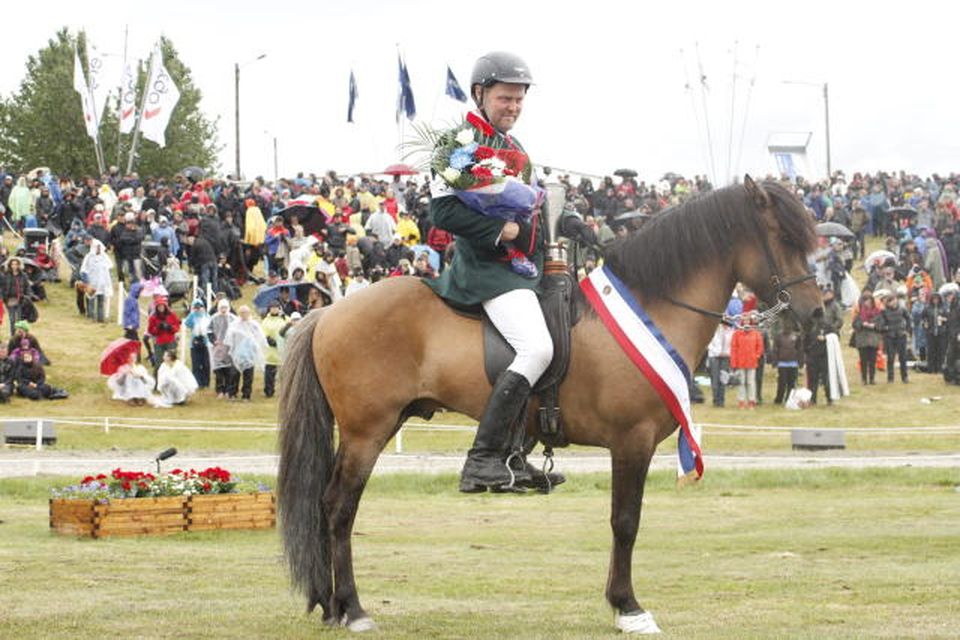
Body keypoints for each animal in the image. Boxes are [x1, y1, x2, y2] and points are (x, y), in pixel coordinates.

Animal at [276, 178, 816, 632]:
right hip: (368, 432)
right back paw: (352, 608)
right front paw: (627, 606)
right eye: (785, 238)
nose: (818, 311)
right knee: (338, 508)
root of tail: (328, 312)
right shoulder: (632, 442)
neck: (651, 306)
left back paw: (331, 604)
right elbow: (625, 522)